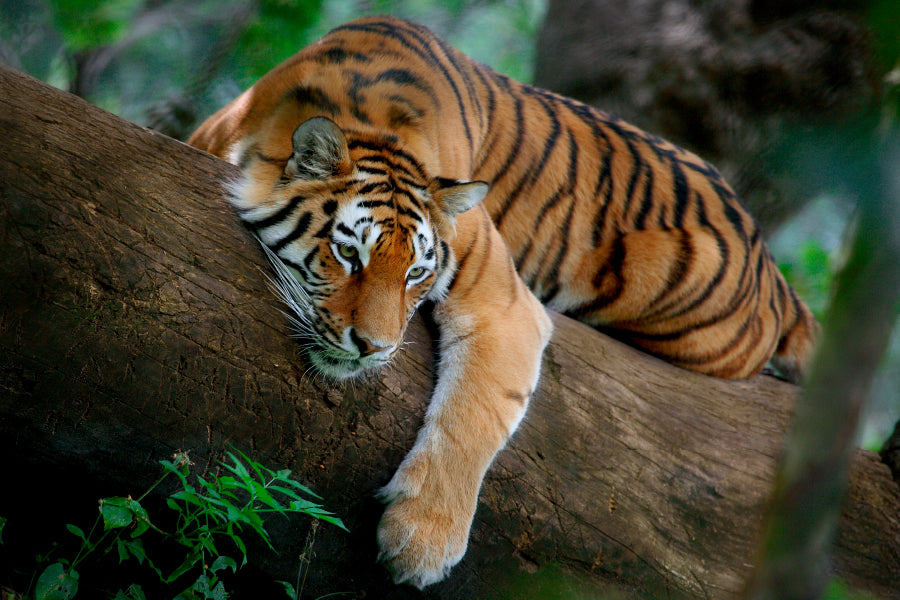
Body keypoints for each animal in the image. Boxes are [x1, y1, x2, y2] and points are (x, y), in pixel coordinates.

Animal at [188, 15, 818, 588]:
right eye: (349, 255)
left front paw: (422, 543)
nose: (374, 348)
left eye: (416, 273)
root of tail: (769, 261)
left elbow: (475, 414)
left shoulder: (505, 302)